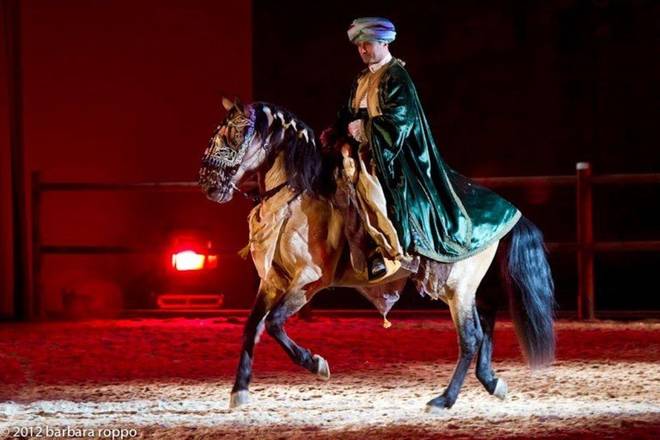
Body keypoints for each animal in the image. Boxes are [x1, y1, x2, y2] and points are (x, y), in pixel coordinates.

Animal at [199, 96, 556, 412]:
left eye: (234, 133)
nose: (208, 183)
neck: (297, 196)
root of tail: (510, 211)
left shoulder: (308, 282)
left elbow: (273, 324)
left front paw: (316, 364)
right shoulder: (273, 280)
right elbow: (252, 327)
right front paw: (239, 391)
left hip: (457, 287)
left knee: (470, 337)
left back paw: (444, 400)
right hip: (461, 288)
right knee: (485, 323)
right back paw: (491, 382)